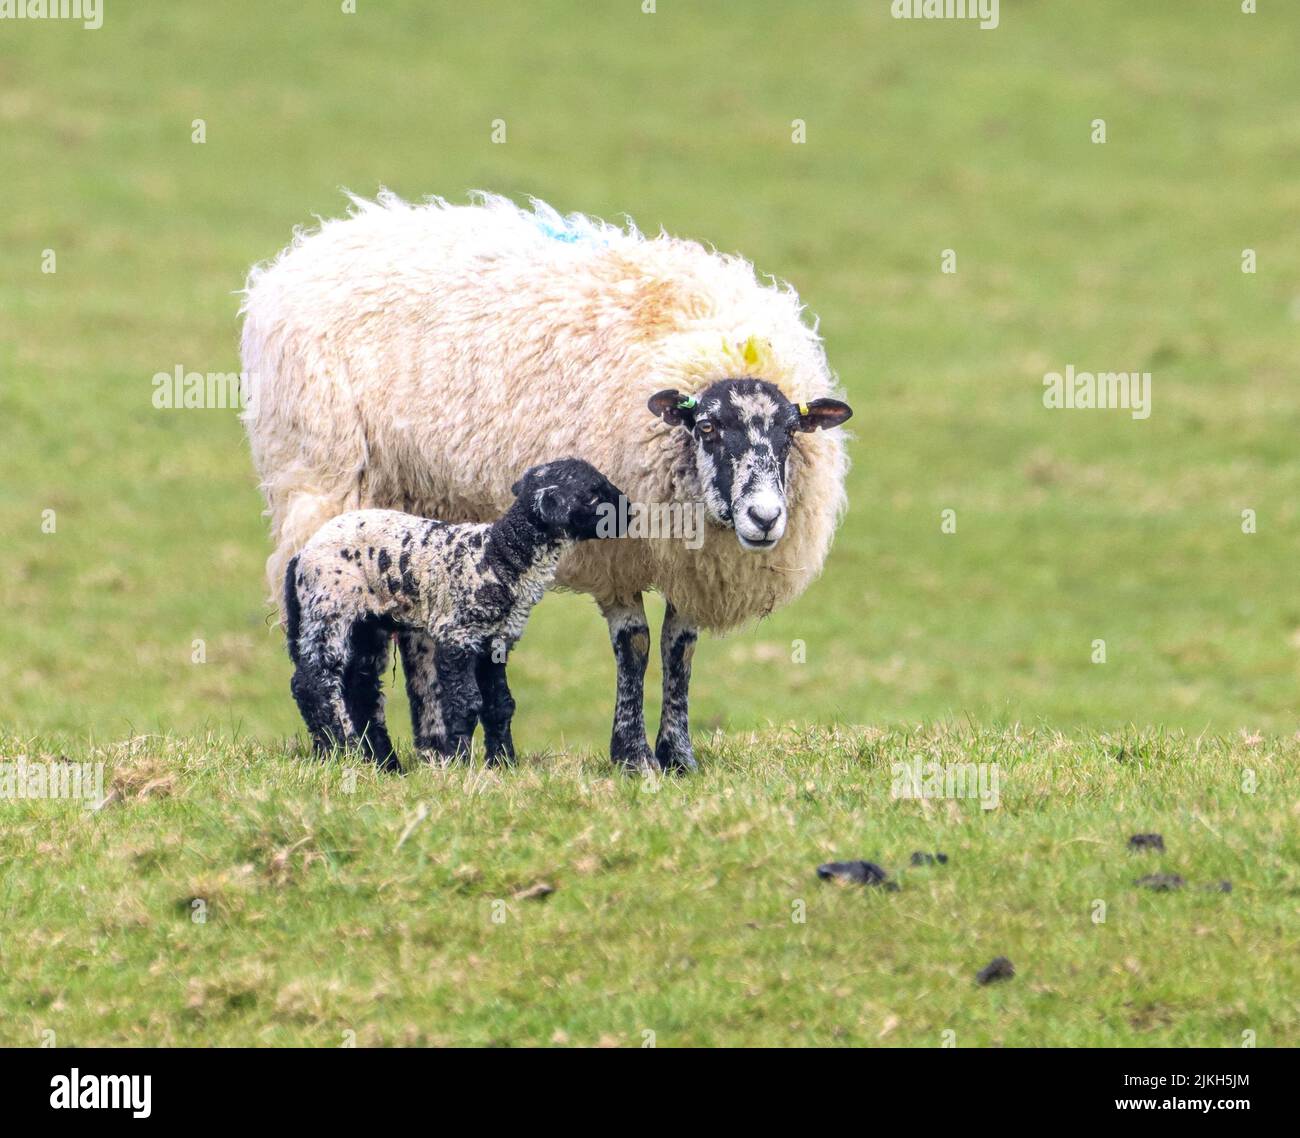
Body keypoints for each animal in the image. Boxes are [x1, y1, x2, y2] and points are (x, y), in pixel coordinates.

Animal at [286, 457, 629, 769]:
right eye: (593, 494)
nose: (631, 512)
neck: (497, 556)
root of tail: (301, 554)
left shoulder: (496, 640)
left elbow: (500, 704)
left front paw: (503, 764)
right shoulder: (456, 634)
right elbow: (464, 703)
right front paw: (459, 765)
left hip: (366, 623)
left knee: (361, 686)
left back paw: (383, 764)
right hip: (329, 609)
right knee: (313, 682)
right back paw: (339, 751)